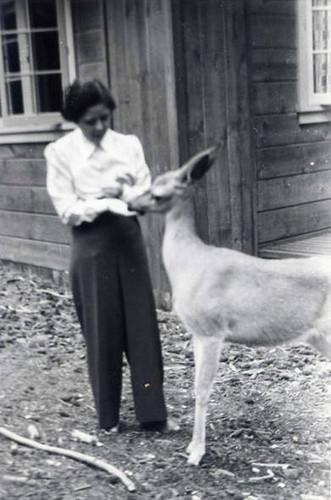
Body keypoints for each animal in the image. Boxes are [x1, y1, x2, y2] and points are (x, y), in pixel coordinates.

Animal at [126, 146, 331, 466]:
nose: (130, 203)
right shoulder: (196, 332)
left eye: (157, 194)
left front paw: (196, 451)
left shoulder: (212, 329)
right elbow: (196, 386)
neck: (190, 263)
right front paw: (192, 446)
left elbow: (202, 389)